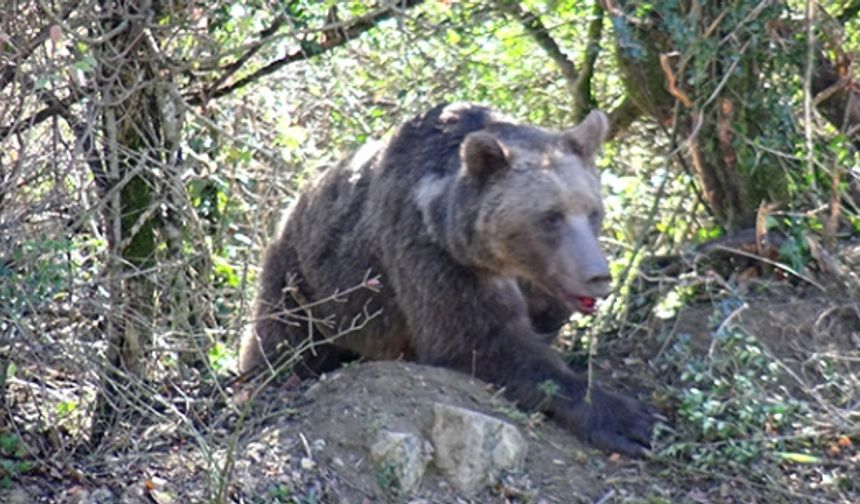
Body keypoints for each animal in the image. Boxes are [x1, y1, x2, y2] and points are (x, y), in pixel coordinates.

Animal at [245, 102, 656, 456]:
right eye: (550, 217)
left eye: (593, 211)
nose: (598, 275)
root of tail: (292, 205)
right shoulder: (431, 252)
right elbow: (475, 341)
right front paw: (629, 420)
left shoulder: (533, 282)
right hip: (302, 283)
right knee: (282, 343)